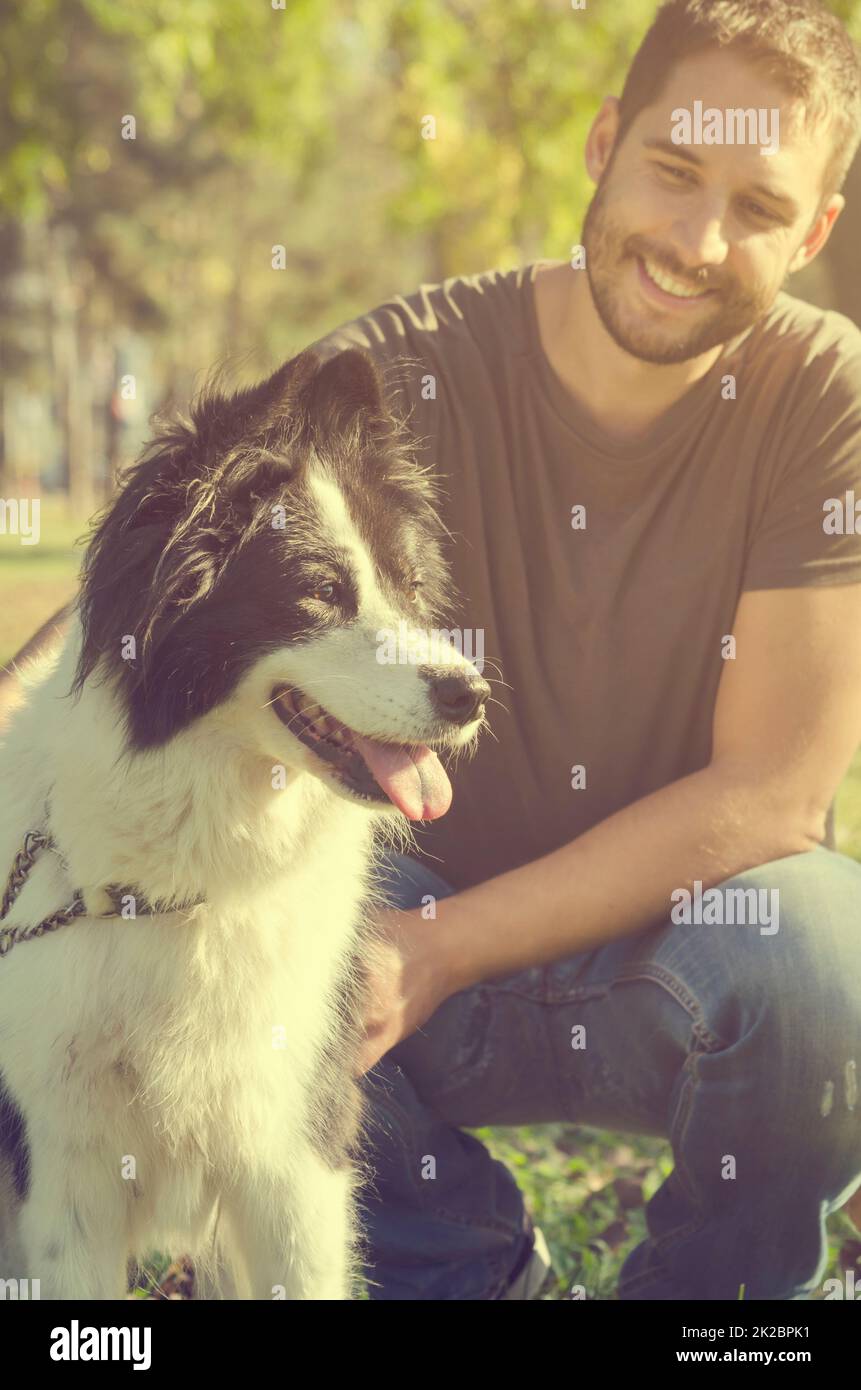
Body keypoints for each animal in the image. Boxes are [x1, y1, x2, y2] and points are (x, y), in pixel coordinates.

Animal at [0, 347, 489, 1301]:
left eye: (411, 589)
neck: (175, 888)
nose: (472, 695)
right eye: (321, 593)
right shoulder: (61, 1180)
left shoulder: (294, 1156)